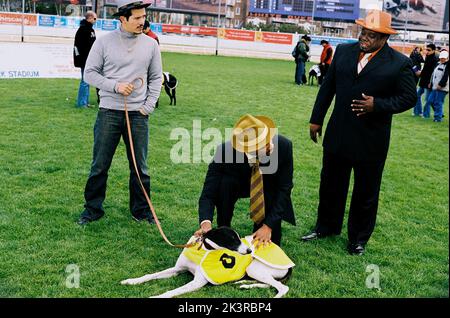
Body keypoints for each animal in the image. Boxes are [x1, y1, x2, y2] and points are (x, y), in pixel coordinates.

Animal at [120, 226, 296, 298]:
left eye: (239, 237)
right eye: (233, 239)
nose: (249, 251)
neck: (203, 249)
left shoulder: (197, 282)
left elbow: (173, 291)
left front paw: (156, 296)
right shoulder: (177, 269)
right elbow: (150, 275)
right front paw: (131, 281)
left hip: (254, 268)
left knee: (282, 287)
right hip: (255, 271)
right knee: (269, 283)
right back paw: (244, 284)